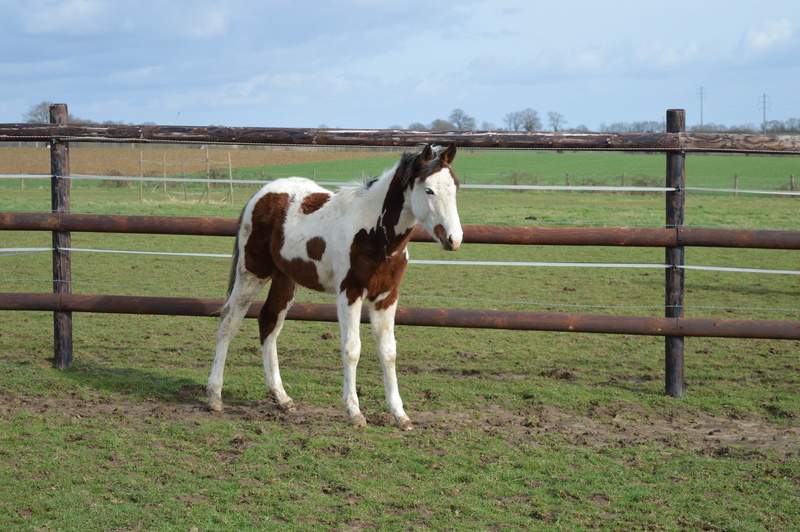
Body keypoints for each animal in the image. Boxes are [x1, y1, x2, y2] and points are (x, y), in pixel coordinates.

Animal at [208, 143, 462, 430]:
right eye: (428, 189)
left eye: (455, 187)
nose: (454, 239)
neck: (374, 233)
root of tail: (261, 195)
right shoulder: (349, 293)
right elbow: (352, 349)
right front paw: (354, 412)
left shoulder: (386, 296)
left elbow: (389, 352)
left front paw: (400, 415)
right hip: (252, 273)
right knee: (228, 321)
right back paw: (215, 397)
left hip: (285, 278)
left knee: (269, 322)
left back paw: (282, 398)